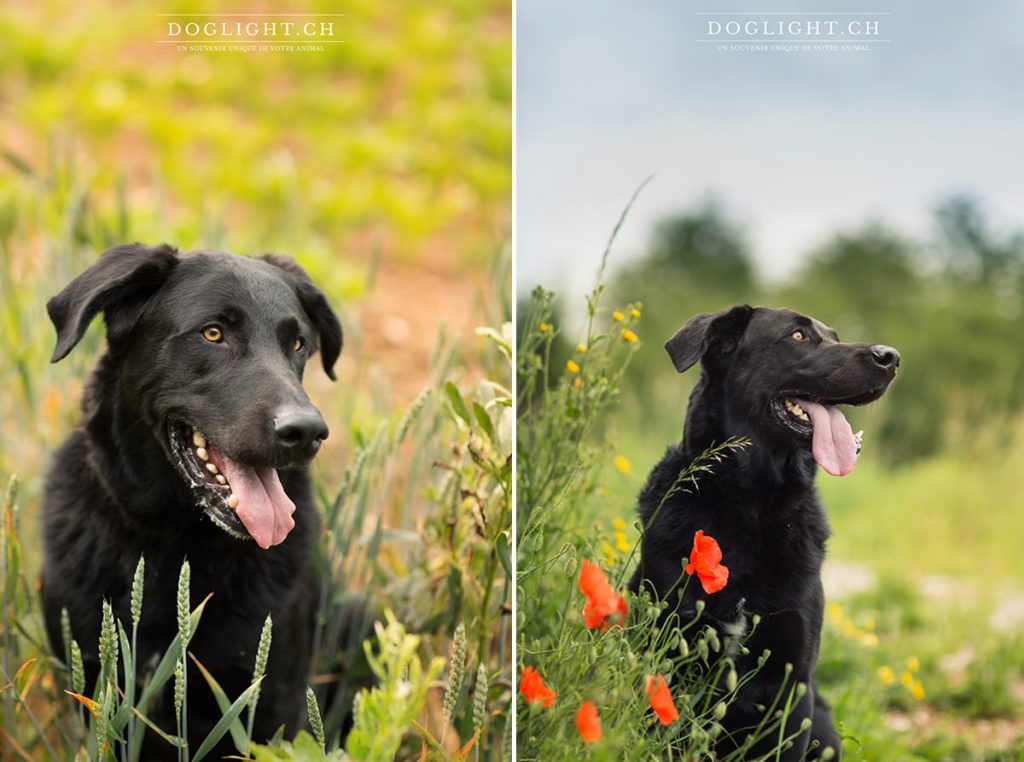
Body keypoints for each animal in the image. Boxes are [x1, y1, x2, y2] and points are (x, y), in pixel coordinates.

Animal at [41, 245, 342, 762]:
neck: (175, 543)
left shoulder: (273, 700)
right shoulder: (97, 689)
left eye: (298, 344)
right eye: (213, 333)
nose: (306, 431)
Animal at [626, 307, 901, 762]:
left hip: (825, 729)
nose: (891, 357)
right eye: (798, 335)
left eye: (833, 336)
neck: (753, 506)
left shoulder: (793, 684)